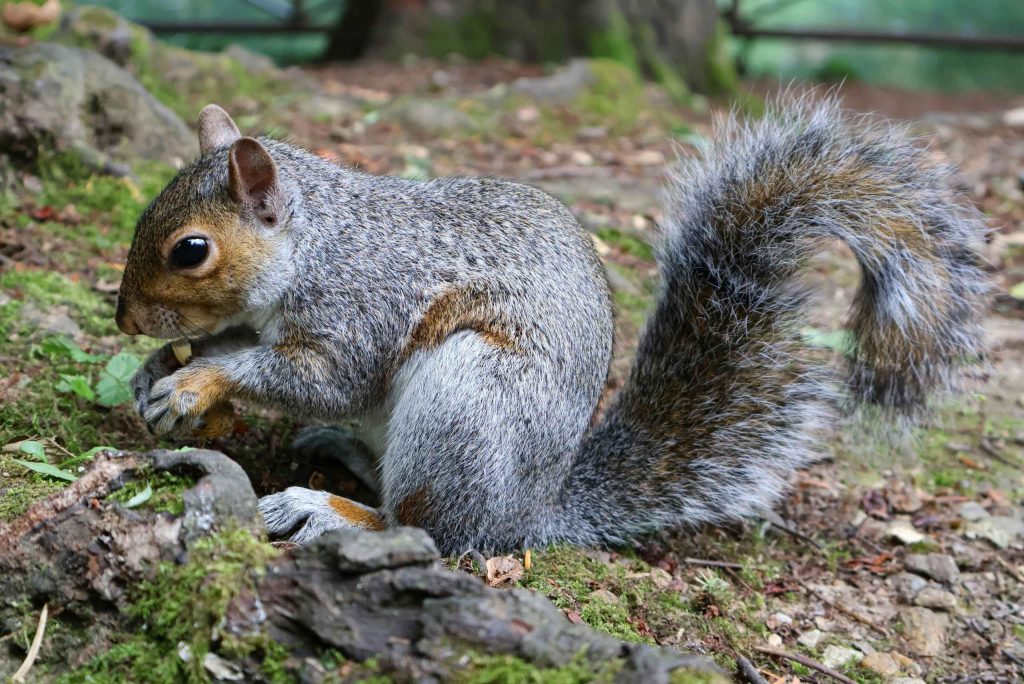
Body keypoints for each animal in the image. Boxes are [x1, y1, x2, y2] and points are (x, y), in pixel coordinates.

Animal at [117, 96, 988, 554]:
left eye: (191, 250)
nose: (124, 317)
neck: (315, 244)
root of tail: (534, 513)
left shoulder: (361, 308)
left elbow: (317, 377)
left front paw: (197, 379)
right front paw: (161, 368)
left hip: (469, 401)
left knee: (432, 529)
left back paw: (328, 509)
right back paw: (342, 457)